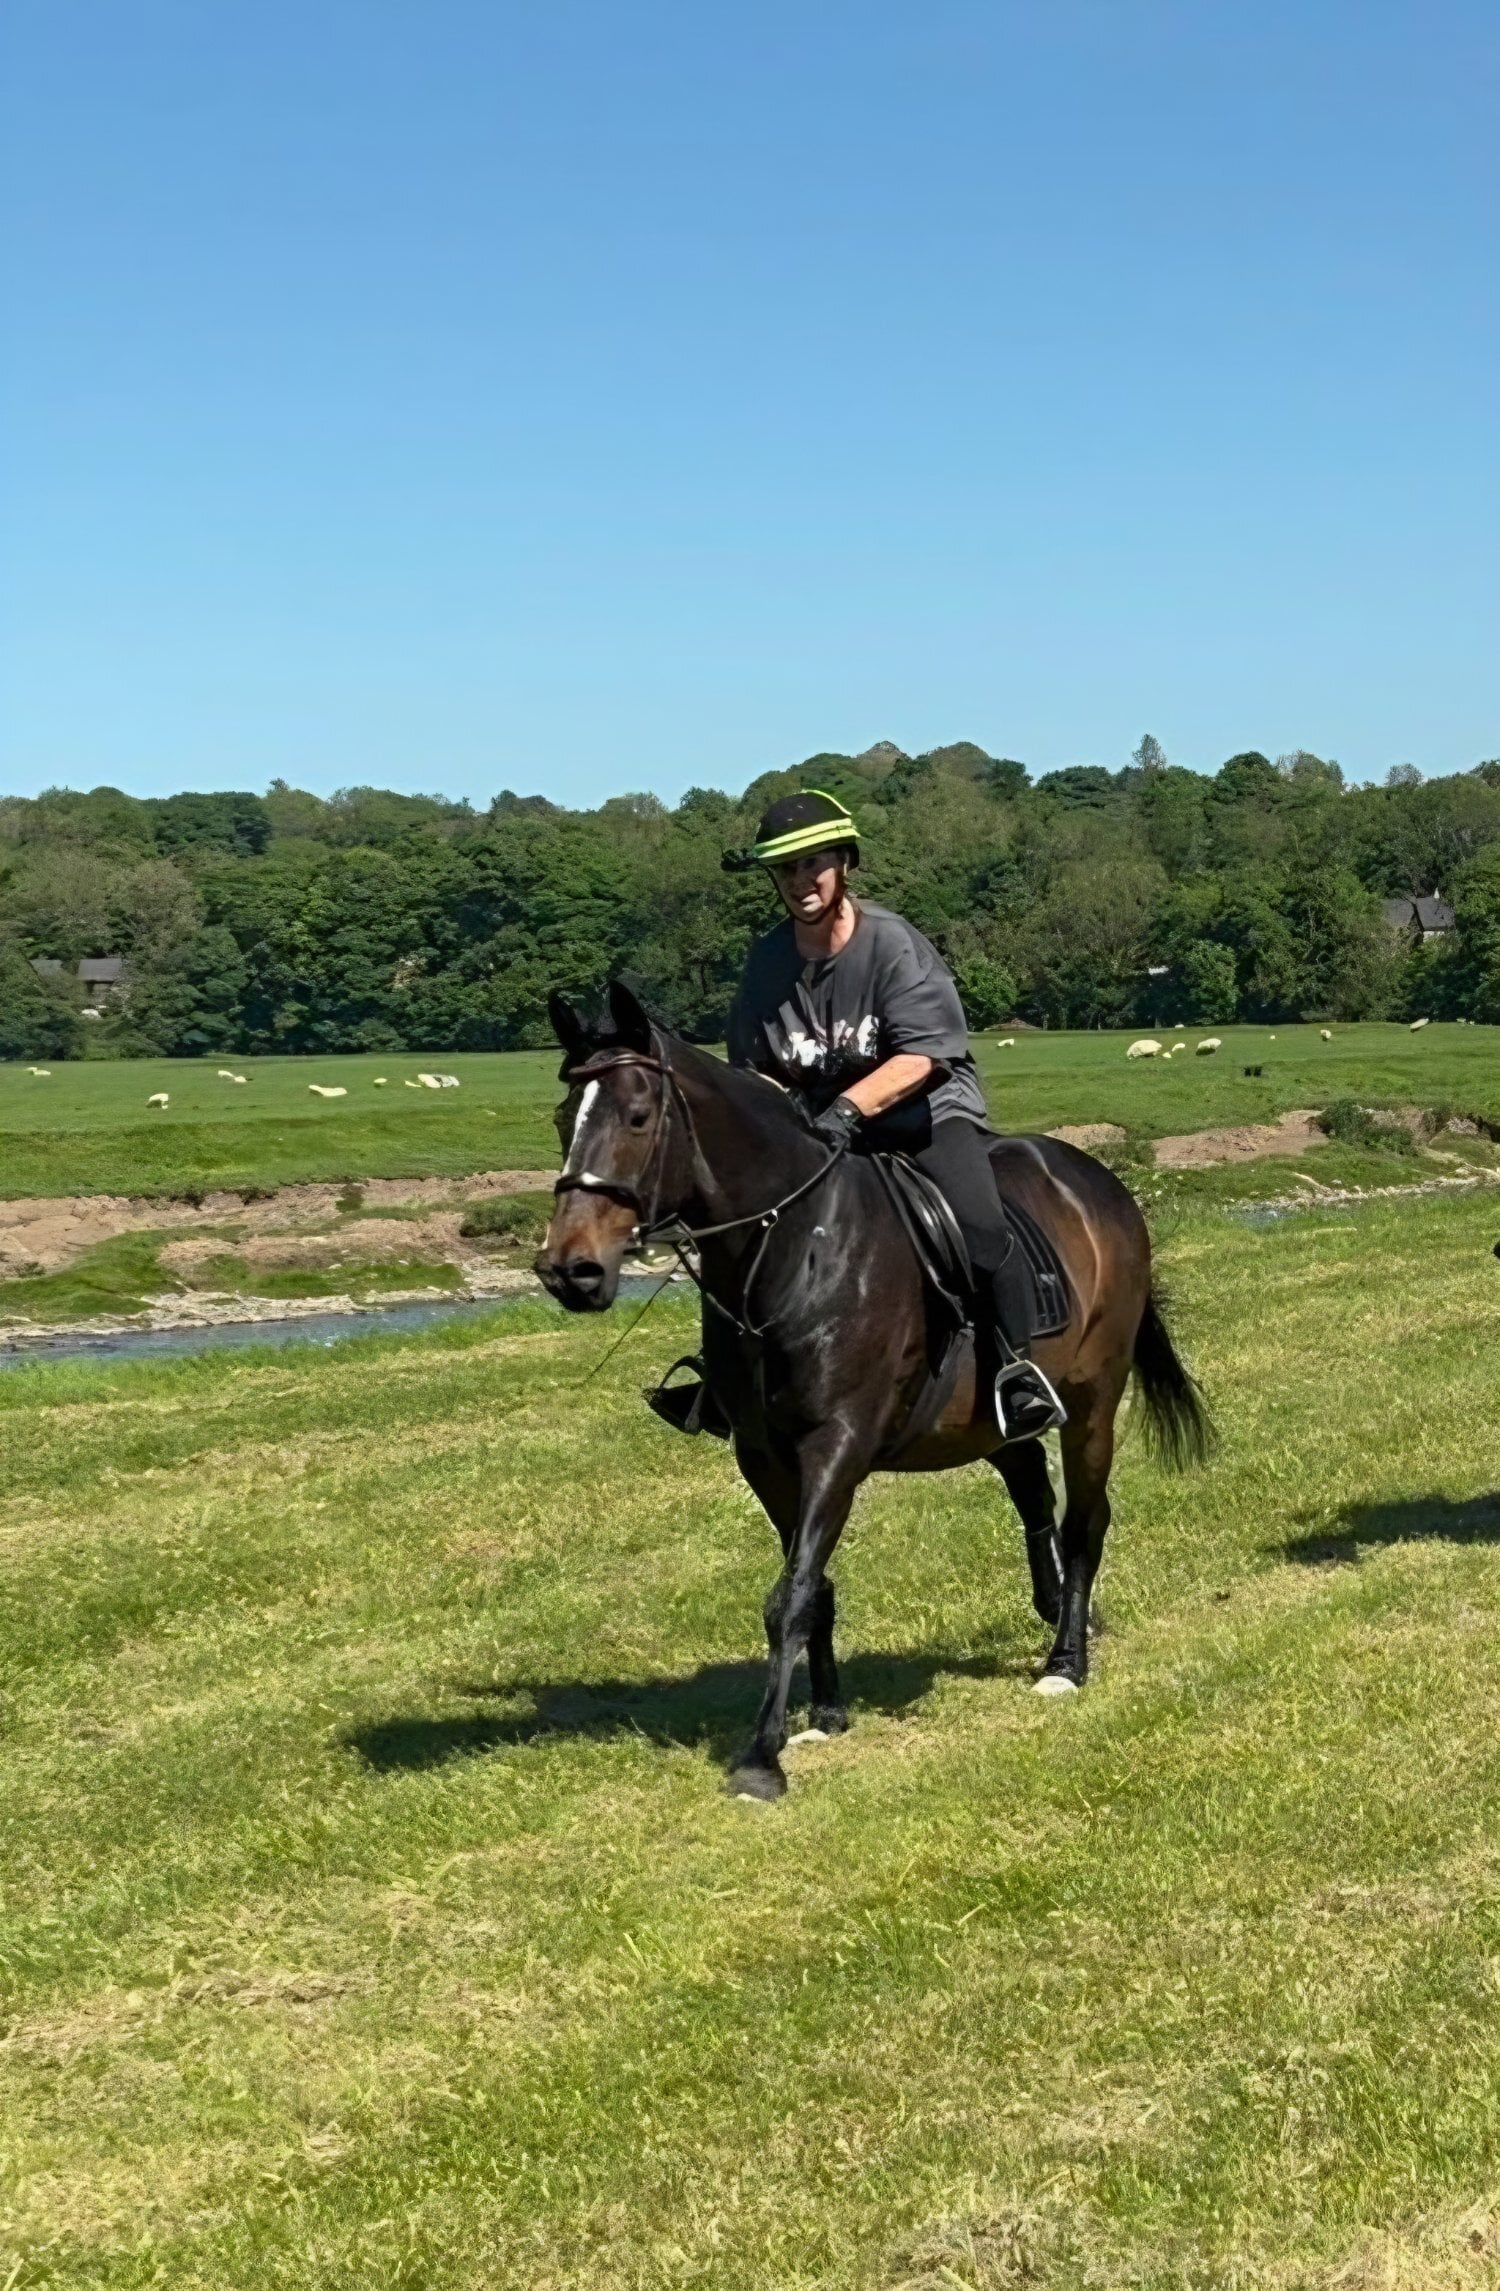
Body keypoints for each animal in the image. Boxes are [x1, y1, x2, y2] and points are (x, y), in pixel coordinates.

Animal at [538, 982, 1211, 1800]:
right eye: (561, 1119)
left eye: (637, 1116)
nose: (570, 1270)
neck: (796, 1248)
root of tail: (1098, 1180)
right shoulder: (764, 1457)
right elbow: (812, 1586)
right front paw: (825, 1713)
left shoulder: (837, 1445)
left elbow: (792, 1592)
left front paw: (761, 1757)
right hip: (988, 1420)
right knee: (1031, 1489)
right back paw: (1052, 1610)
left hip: (1092, 1402)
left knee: (1085, 1519)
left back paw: (1066, 1660)